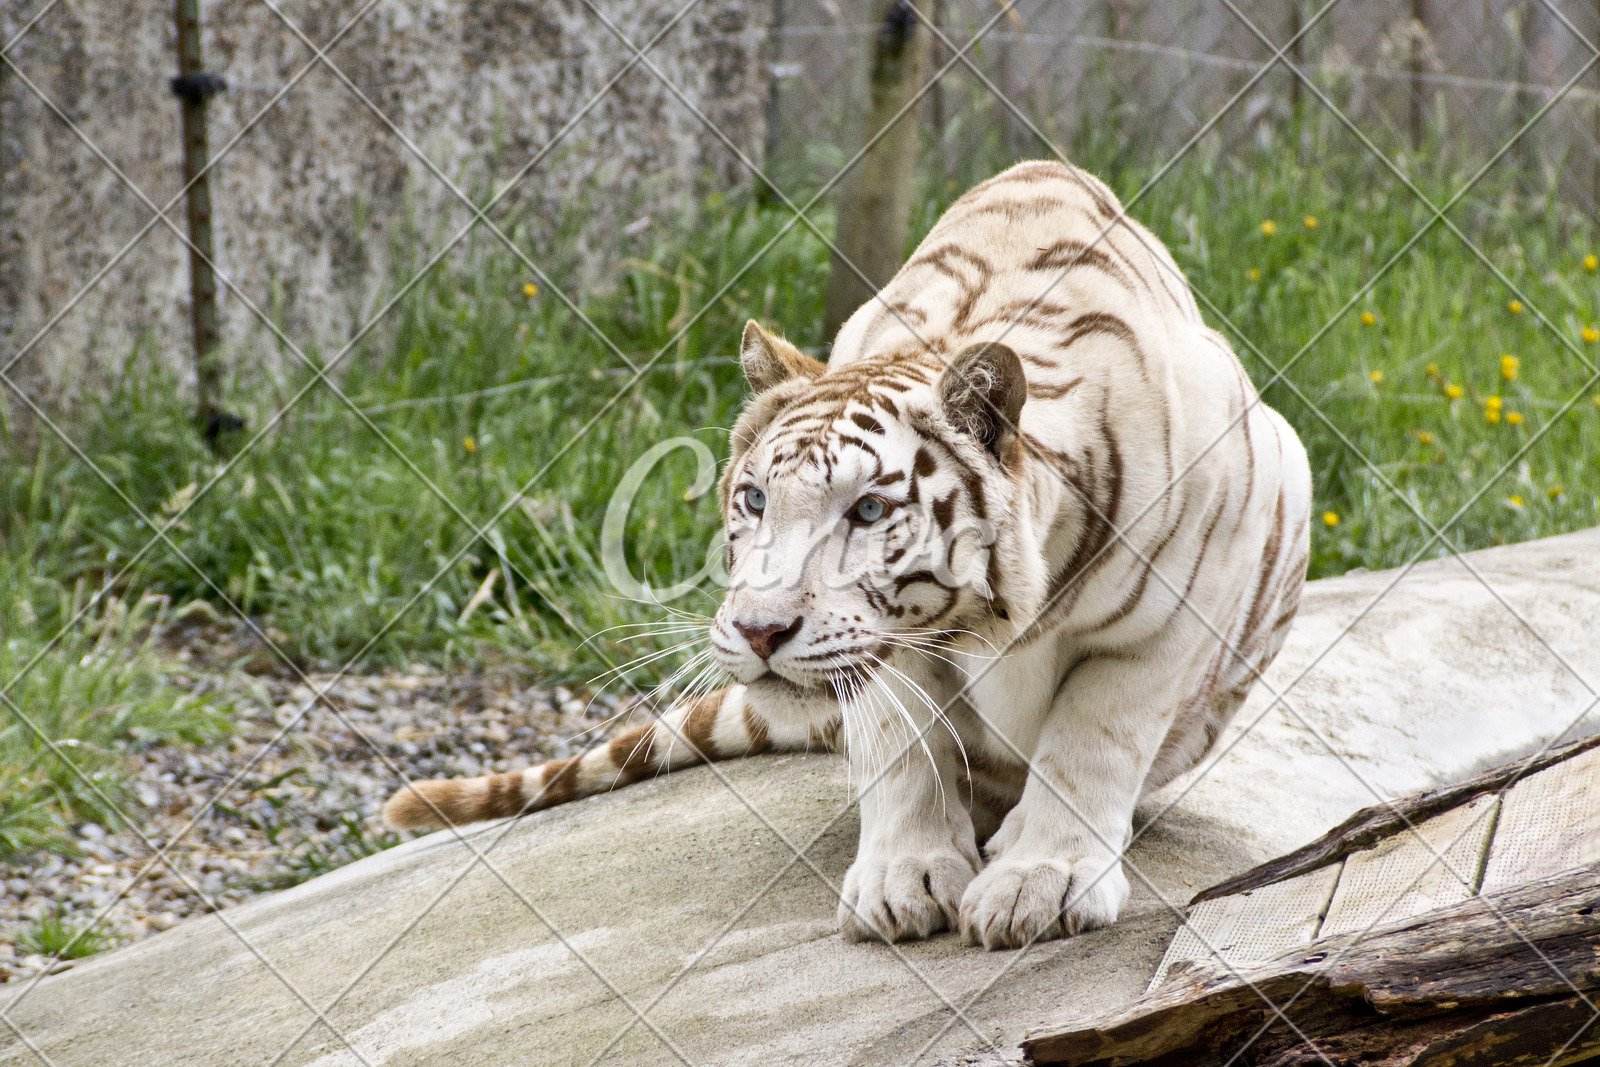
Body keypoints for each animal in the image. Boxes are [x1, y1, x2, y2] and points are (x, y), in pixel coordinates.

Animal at [384, 159, 1312, 950]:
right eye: (756, 499)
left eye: (868, 510)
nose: (758, 631)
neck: (989, 621)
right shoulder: (892, 656)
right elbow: (903, 748)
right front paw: (907, 878)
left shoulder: (1172, 611)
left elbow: (1093, 739)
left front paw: (1037, 882)